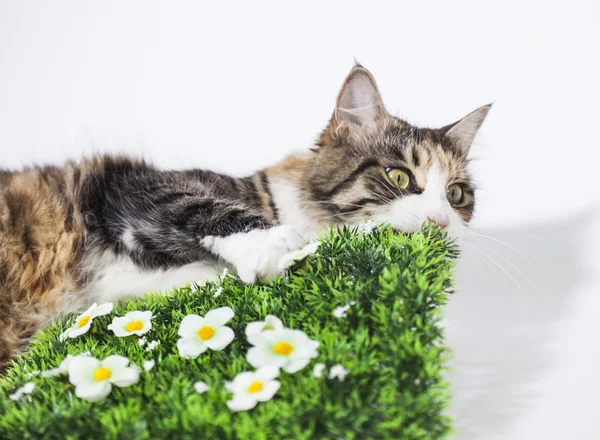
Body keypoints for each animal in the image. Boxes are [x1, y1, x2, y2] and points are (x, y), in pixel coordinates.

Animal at [0, 65, 488, 372]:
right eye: (399, 176)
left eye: (456, 195)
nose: (441, 221)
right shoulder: (125, 185)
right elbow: (203, 207)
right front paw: (274, 245)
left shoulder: (119, 288)